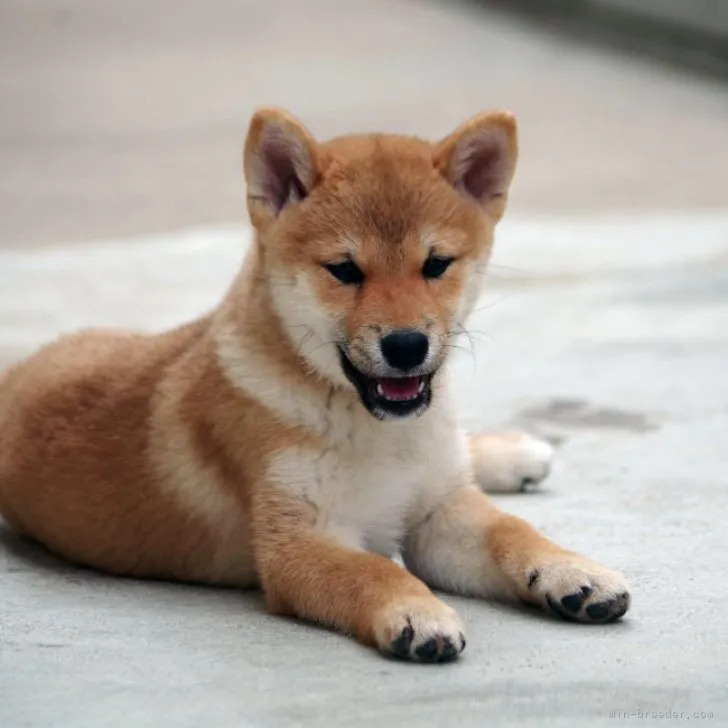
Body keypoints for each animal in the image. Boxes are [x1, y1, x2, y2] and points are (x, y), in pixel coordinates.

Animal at [0, 106, 632, 660]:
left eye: (436, 264)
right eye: (345, 271)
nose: (407, 345)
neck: (380, 437)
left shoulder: (440, 514)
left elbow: (512, 533)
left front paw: (571, 570)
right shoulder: (300, 542)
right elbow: (372, 570)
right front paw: (417, 612)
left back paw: (512, 454)